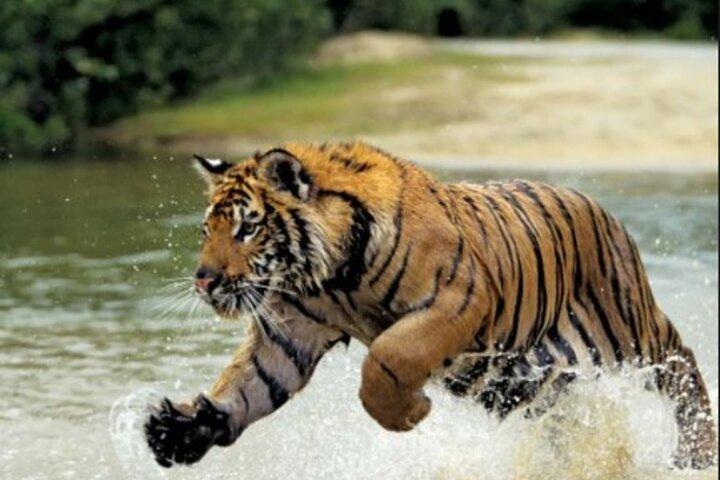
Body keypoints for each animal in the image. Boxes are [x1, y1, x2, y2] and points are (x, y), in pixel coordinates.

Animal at [144, 141, 717, 469]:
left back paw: (696, 453)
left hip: (626, 329)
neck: (330, 279)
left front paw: (408, 414)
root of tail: (602, 208)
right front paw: (180, 430)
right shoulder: (290, 332)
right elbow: (249, 384)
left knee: (683, 363)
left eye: (248, 228)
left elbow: (389, 358)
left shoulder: (458, 300)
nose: (204, 281)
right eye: (207, 231)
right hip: (527, 380)